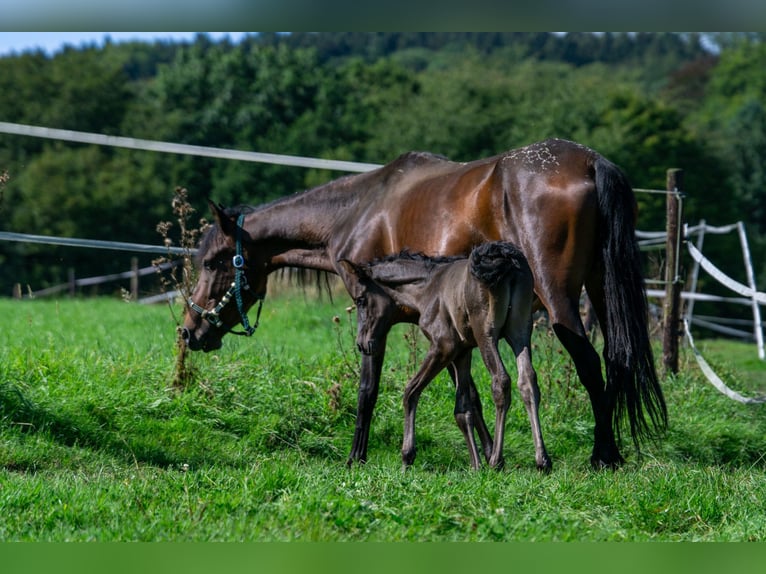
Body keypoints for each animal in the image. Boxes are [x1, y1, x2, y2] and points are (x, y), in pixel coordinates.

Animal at [342, 242, 552, 472]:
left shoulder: (444, 346)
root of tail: (505, 259)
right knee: (528, 381)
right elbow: (463, 407)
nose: (362, 344)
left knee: (501, 381)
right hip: (520, 332)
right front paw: (475, 465)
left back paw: (497, 460)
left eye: (360, 300)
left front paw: (407, 456)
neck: (428, 288)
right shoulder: (463, 351)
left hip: (486, 334)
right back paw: (542, 460)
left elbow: (410, 391)